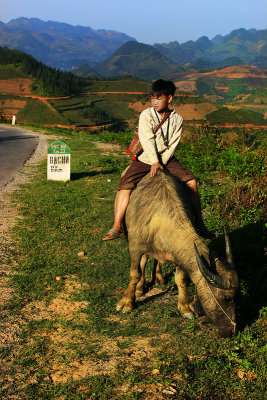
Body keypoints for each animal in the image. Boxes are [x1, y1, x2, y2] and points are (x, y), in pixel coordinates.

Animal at [116, 170, 240, 338]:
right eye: (227, 298)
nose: (231, 330)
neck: (161, 219)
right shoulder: (135, 247)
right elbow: (134, 274)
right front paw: (127, 303)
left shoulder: (178, 255)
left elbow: (180, 278)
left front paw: (186, 308)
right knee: (143, 261)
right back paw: (140, 288)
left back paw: (159, 277)